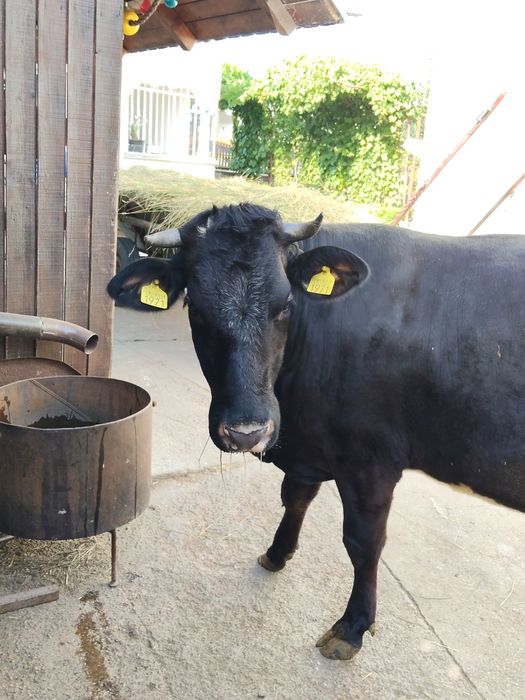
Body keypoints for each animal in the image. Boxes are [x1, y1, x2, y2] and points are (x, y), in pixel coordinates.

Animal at [108, 203, 525, 661]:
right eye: (195, 309)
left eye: (286, 304)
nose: (247, 431)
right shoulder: (309, 447)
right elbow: (296, 498)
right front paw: (276, 554)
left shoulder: (370, 461)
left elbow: (363, 543)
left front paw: (352, 627)